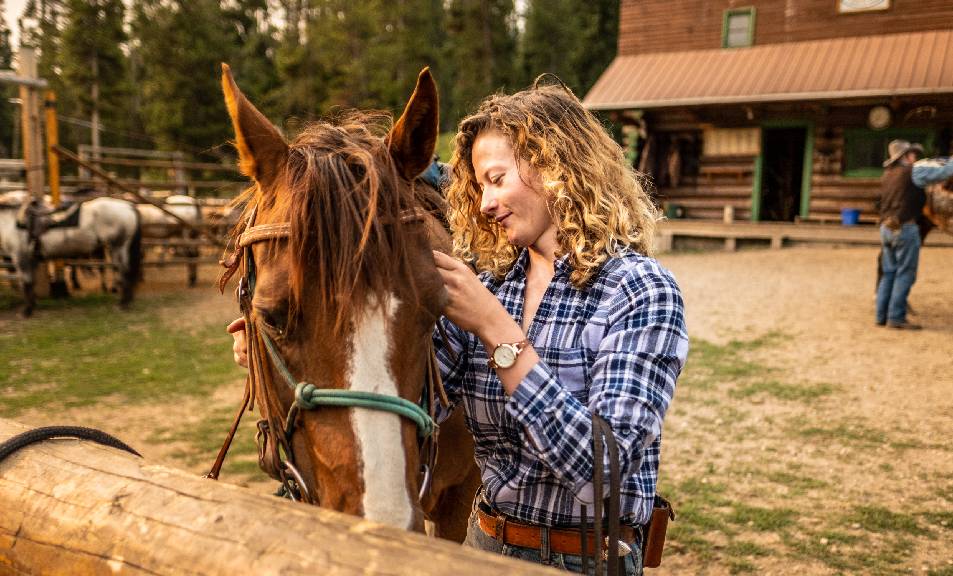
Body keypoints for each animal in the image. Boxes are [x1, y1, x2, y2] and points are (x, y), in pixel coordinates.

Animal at [0, 196, 141, 318]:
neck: (12, 223)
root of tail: (128, 206)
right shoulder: (31, 259)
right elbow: (31, 282)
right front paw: (32, 307)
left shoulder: (20, 257)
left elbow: (26, 282)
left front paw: (27, 311)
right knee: (124, 273)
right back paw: (125, 301)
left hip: (119, 246)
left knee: (125, 272)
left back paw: (123, 304)